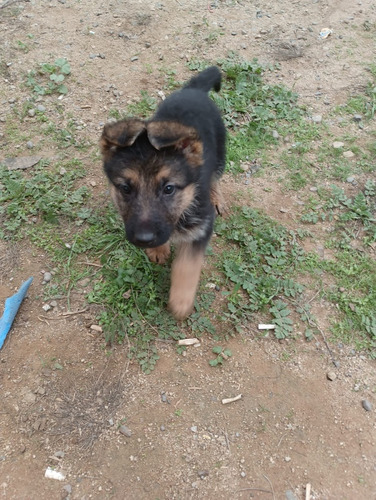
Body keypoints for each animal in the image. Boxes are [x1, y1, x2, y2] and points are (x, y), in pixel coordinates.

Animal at [100, 65, 226, 320]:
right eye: (125, 188)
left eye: (168, 189)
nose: (144, 239)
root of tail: (193, 90)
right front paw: (158, 249)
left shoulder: (202, 226)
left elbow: (187, 265)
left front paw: (180, 300)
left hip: (220, 152)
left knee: (216, 176)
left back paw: (216, 196)